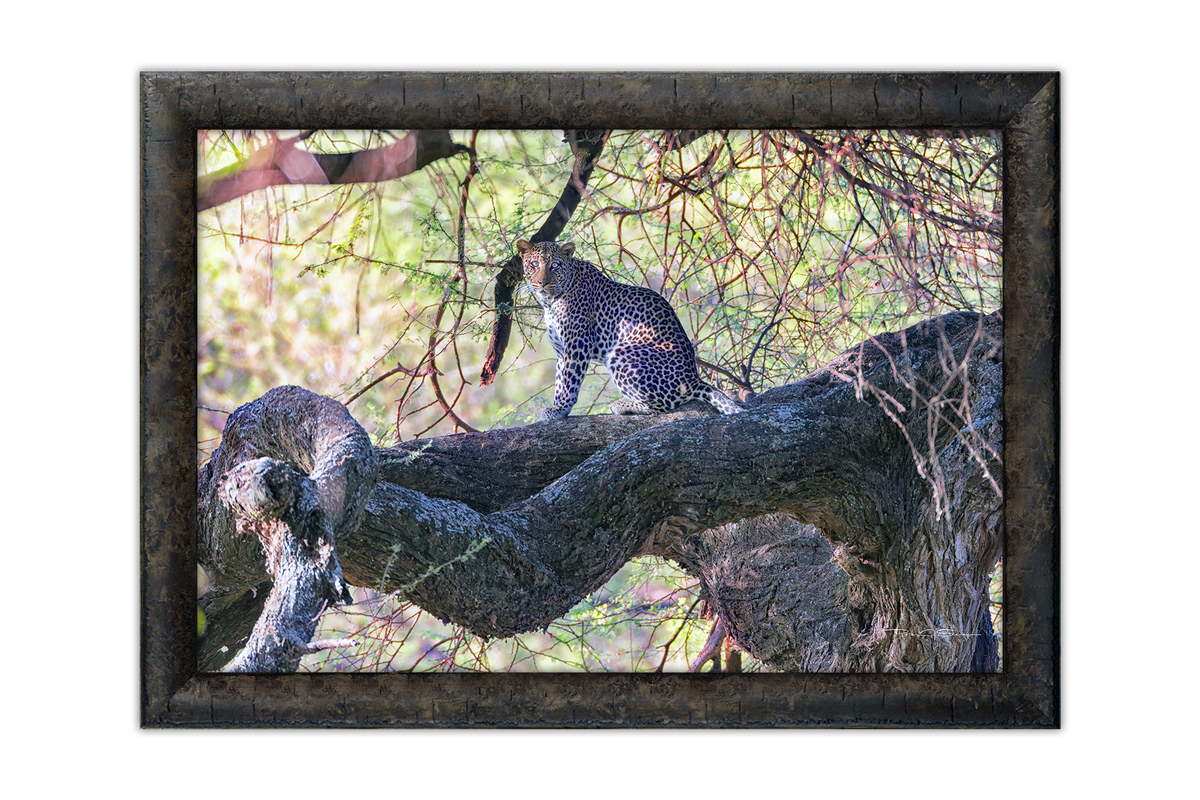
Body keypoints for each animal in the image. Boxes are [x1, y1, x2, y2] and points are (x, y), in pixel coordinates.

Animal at [517, 239, 743, 421]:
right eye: (534, 264)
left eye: (555, 265)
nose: (542, 282)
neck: (550, 301)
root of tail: (693, 378)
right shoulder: (562, 351)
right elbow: (559, 381)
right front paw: (557, 407)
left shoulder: (578, 344)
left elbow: (569, 381)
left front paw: (560, 410)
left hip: (621, 354)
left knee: (662, 406)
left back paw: (622, 405)